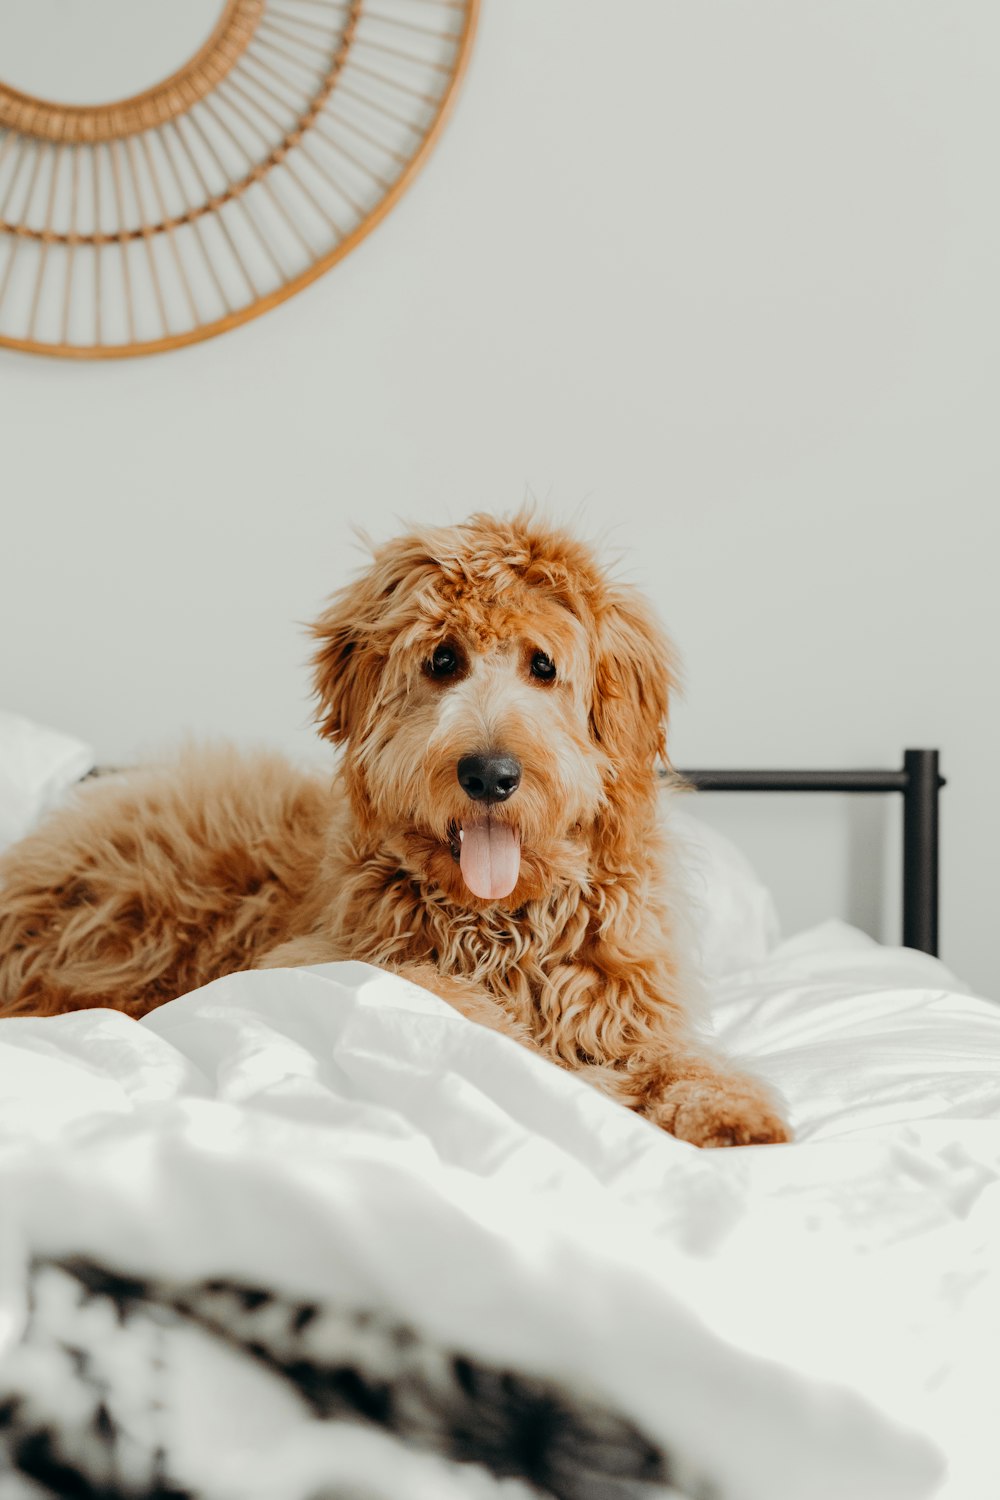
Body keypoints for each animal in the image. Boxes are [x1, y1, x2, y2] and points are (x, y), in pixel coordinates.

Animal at [0, 516, 791, 1146]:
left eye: (544, 666)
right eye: (443, 660)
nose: (491, 774)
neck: (500, 923)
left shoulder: (630, 1006)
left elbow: (673, 1055)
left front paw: (730, 1110)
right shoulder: (308, 958)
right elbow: (453, 1001)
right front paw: (583, 1082)